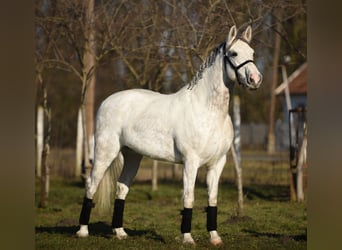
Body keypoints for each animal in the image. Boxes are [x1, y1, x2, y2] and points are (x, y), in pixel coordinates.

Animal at [75, 25, 262, 246]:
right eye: (233, 53)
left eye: (252, 53)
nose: (255, 79)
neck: (208, 112)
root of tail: (107, 102)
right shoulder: (191, 162)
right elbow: (188, 198)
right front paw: (187, 238)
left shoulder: (217, 163)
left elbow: (213, 199)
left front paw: (215, 238)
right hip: (106, 152)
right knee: (91, 185)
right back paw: (82, 231)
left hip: (132, 156)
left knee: (121, 188)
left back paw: (120, 233)